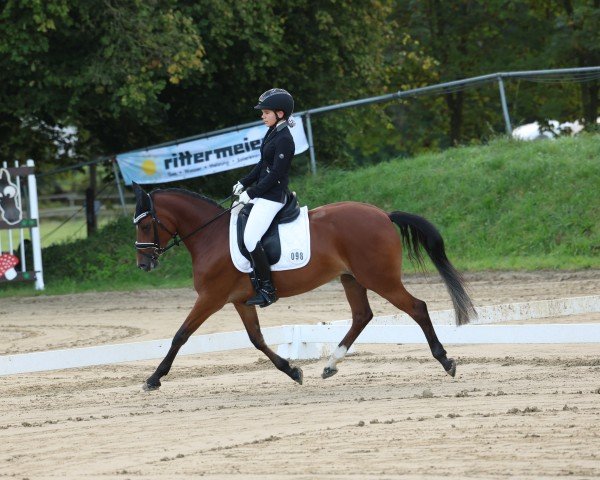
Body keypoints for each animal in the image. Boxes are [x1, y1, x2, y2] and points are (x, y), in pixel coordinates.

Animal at [134, 183, 476, 390]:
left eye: (146, 224)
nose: (143, 264)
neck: (210, 235)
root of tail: (383, 214)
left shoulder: (211, 297)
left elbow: (180, 335)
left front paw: (153, 378)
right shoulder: (239, 301)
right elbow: (257, 339)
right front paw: (293, 370)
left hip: (379, 278)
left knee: (417, 308)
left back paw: (446, 361)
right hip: (352, 279)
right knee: (362, 316)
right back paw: (330, 364)